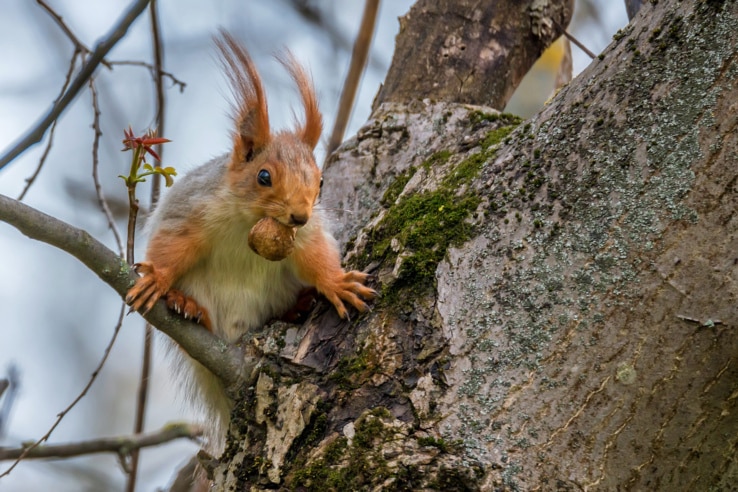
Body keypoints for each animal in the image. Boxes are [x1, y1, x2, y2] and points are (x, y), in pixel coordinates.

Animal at [125, 32, 374, 450]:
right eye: (263, 176)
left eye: (321, 182)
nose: (300, 215)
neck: (249, 224)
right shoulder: (193, 211)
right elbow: (173, 244)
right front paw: (157, 278)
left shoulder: (304, 237)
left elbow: (316, 256)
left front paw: (337, 283)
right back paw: (186, 305)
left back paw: (298, 307)